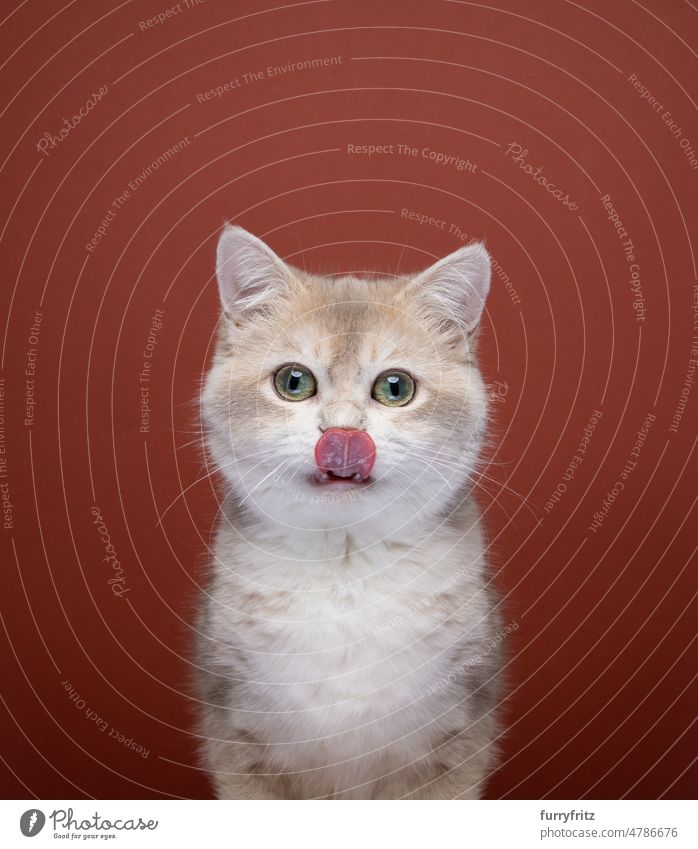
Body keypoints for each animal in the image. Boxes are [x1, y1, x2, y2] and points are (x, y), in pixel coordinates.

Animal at [196, 224, 500, 796]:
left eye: (395, 387)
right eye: (293, 382)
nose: (342, 435)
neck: (345, 565)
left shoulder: (455, 737)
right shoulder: (238, 735)